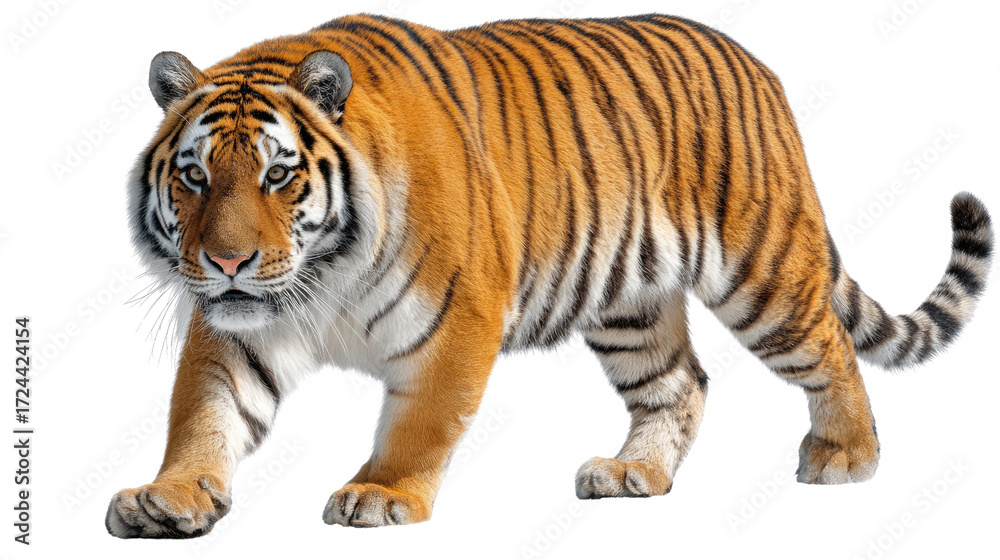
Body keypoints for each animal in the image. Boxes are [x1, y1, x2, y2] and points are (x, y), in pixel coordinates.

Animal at [106, 13, 993, 537]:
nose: (227, 262)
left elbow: (420, 420)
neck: (320, 276)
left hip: (761, 272)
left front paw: (383, 494)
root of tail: (757, 65)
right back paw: (636, 474)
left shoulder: (458, 315)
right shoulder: (239, 328)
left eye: (278, 176)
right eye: (194, 178)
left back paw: (847, 455)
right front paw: (169, 496)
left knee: (831, 346)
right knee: (681, 382)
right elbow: (204, 414)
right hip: (631, 303)